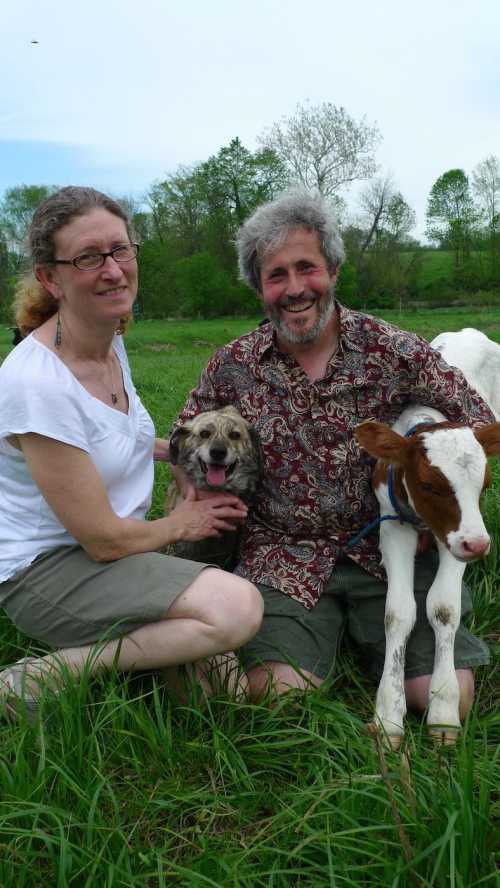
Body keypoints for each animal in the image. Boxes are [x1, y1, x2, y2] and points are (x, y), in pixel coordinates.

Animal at [356, 406, 500, 744]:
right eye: (430, 486)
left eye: (485, 485)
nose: (479, 545)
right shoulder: (392, 524)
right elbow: (398, 612)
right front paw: (389, 713)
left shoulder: (456, 539)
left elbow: (444, 607)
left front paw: (444, 709)